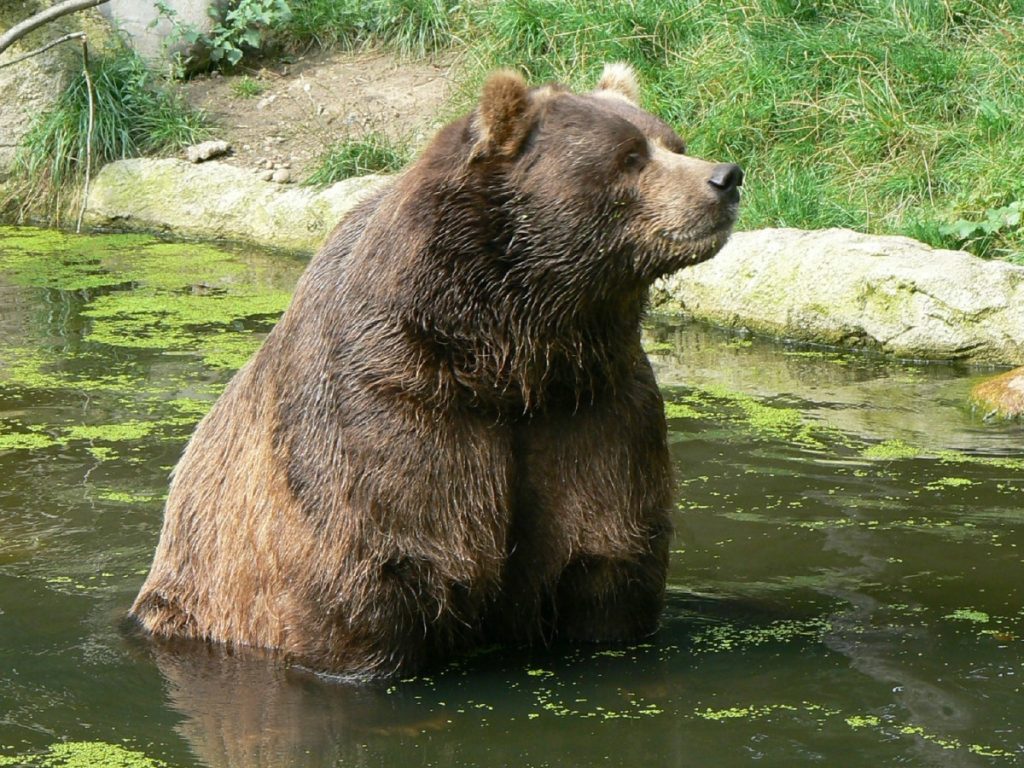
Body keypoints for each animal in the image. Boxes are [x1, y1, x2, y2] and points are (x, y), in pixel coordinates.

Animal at [130, 62, 743, 680]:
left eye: (673, 142)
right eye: (629, 156)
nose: (725, 177)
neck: (509, 353)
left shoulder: (596, 405)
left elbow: (609, 557)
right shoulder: (391, 405)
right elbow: (369, 574)